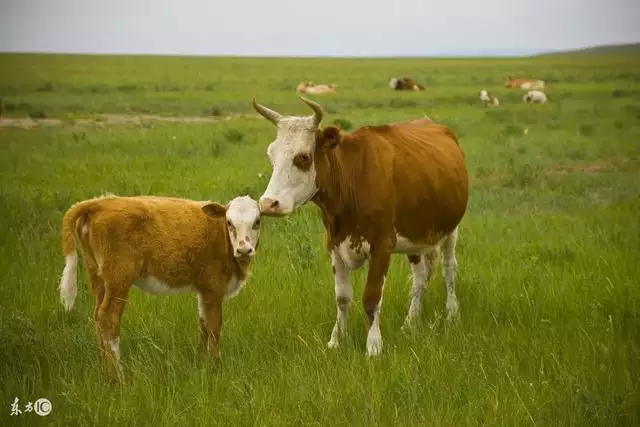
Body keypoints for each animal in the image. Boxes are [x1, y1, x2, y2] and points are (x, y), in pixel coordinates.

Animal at [58, 195, 262, 382]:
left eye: (257, 222)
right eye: (229, 222)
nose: (244, 250)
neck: (222, 237)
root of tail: (101, 202)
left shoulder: (203, 289)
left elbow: (203, 323)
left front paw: (200, 359)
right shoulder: (213, 287)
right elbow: (214, 326)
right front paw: (214, 365)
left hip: (97, 276)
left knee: (97, 317)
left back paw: (106, 372)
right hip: (119, 280)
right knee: (108, 318)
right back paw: (118, 377)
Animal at [252, 96, 468, 358]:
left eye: (303, 157)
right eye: (271, 156)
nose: (268, 203)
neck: (352, 181)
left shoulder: (383, 245)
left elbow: (372, 297)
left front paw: (374, 346)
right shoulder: (334, 244)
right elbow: (342, 297)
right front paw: (336, 340)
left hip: (451, 230)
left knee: (449, 269)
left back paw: (452, 313)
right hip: (415, 237)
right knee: (420, 277)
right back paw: (411, 322)